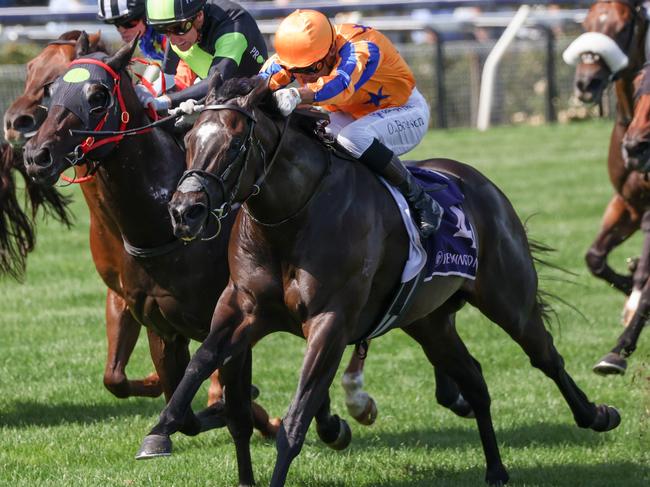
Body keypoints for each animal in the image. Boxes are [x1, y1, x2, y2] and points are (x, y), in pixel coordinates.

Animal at [135, 74, 616, 486]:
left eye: (235, 144)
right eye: (190, 139)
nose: (184, 212)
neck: (291, 218)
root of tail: (482, 183)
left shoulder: (329, 323)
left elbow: (296, 419)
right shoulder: (241, 309)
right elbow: (200, 363)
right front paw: (159, 431)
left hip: (507, 297)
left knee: (545, 355)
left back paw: (596, 415)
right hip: (428, 321)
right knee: (476, 380)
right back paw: (496, 469)